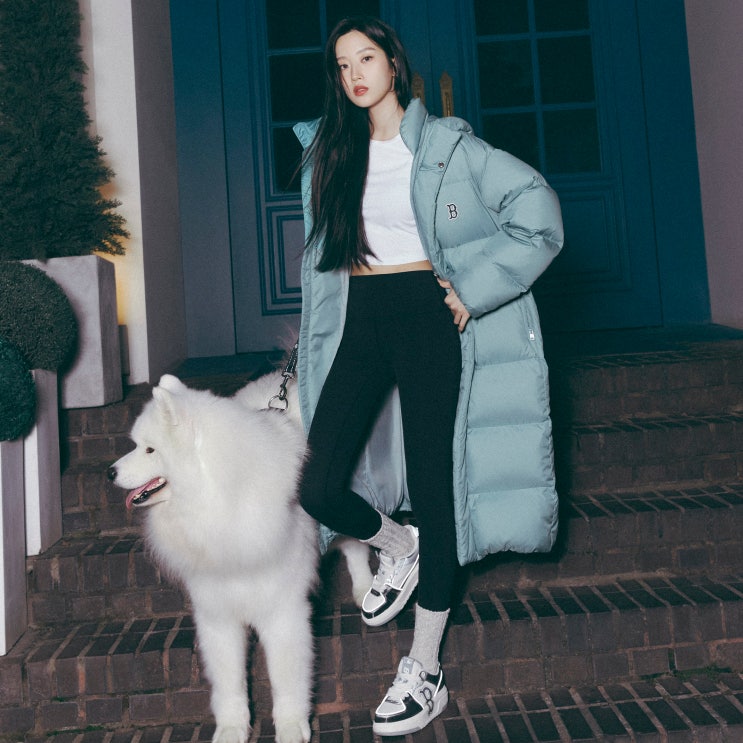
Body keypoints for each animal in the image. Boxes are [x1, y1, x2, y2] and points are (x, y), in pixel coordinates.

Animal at [108, 371, 372, 743]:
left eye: (149, 449)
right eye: (136, 445)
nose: (110, 472)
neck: (217, 502)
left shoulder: (282, 610)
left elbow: (287, 678)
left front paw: (291, 726)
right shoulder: (217, 612)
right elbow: (229, 681)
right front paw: (231, 728)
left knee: (356, 546)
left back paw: (365, 589)